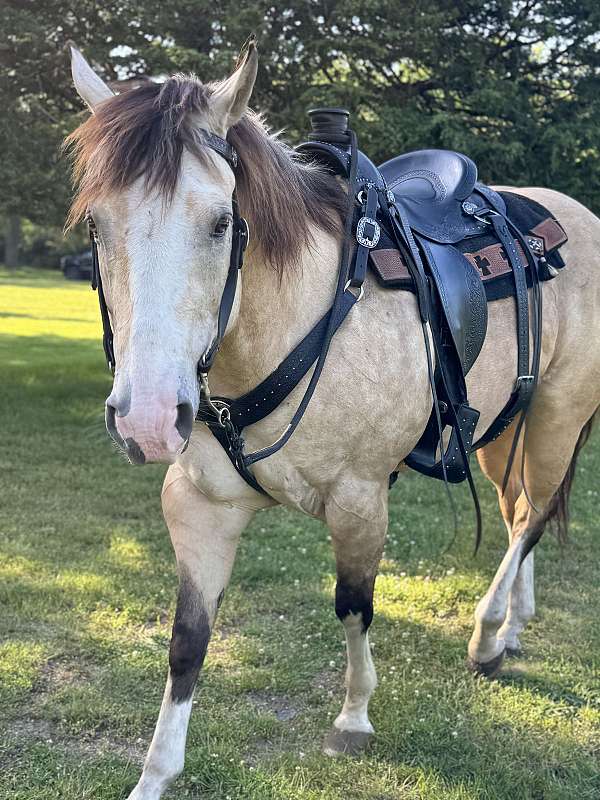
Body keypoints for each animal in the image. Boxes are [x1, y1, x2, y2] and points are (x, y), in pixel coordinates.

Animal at [66, 42, 599, 800]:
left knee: (532, 517)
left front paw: (353, 716)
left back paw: (488, 633)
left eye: (221, 221)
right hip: (504, 430)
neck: (282, 326)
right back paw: (512, 628)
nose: (147, 419)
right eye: (97, 224)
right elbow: (188, 642)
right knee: (519, 510)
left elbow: (353, 606)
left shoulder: (359, 501)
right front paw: (154, 775)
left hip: (558, 414)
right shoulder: (198, 506)